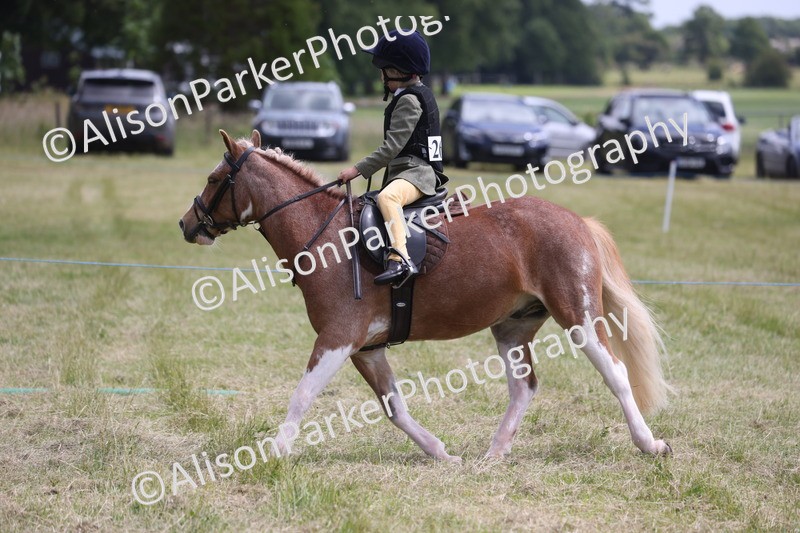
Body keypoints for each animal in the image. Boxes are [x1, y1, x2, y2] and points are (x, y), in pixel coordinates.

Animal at [178, 129, 672, 462]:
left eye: (214, 177)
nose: (187, 224)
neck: (329, 238)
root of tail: (577, 221)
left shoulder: (338, 339)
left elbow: (302, 396)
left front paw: (274, 454)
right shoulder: (367, 349)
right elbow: (394, 408)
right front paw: (440, 452)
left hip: (579, 316)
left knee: (616, 375)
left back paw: (650, 444)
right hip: (513, 327)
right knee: (524, 387)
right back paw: (494, 453)